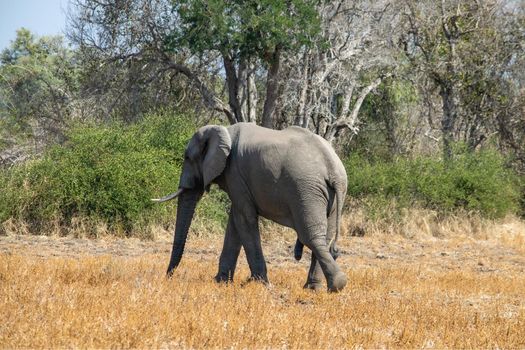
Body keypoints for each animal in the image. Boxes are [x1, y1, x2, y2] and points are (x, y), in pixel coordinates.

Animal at [152, 121, 348, 292]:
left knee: (311, 237)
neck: (224, 129)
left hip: (305, 190)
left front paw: (258, 284)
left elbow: (244, 219)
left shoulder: (235, 173)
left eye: (187, 158)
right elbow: (234, 223)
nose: (168, 277)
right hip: (328, 195)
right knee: (325, 237)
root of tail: (333, 169)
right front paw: (221, 282)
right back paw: (316, 288)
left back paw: (336, 285)